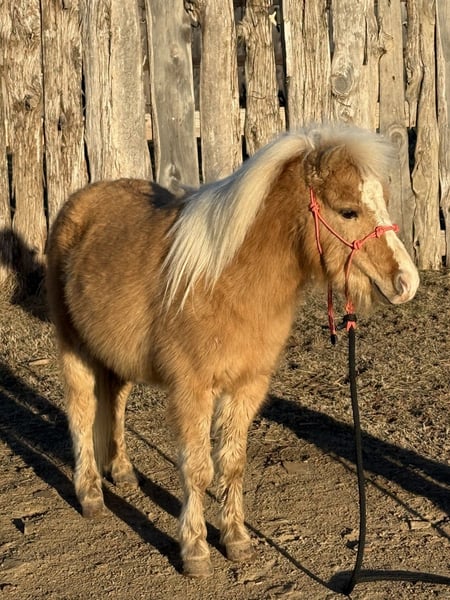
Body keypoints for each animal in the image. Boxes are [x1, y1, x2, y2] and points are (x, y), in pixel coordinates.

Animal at [46, 124, 419, 578]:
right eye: (348, 211)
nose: (407, 282)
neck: (225, 280)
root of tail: (79, 204)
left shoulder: (246, 387)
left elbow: (232, 463)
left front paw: (236, 539)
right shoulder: (192, 390)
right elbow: (198, 469)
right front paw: (195, 550)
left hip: (116, 359)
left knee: (113, 404)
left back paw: (121, 471)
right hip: (75, 349)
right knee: (82, 414)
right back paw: (90, 495)